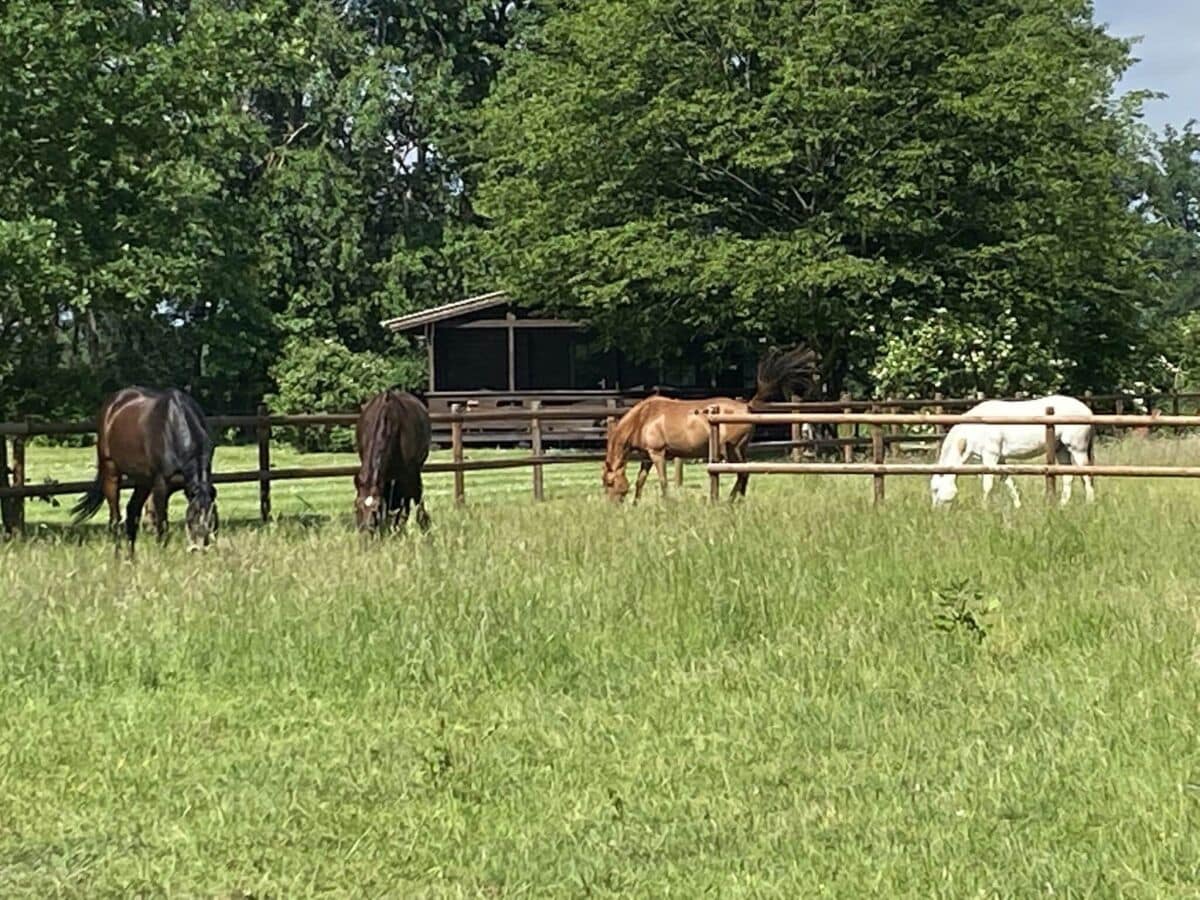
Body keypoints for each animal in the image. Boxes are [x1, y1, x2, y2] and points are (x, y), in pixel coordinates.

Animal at [73, 386, 218, 554]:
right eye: (192, 517)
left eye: (212, 519)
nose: (199, 548)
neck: (174, 425)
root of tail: (113, 403)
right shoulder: (161, 486)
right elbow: (162, 524)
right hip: (111, 472)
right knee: (115, 518)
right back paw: (118, 555)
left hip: (143, 481)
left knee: (131, 512)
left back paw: (131, 556)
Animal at [604, 343, 820, 501]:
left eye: (608, 483)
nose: (613, 506)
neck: (644, 418)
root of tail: (746, 406)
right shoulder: (647, 457)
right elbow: (640, 482)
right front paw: (636, 504)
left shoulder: (658, 454)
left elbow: (663, 481)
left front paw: (667, 503)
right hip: (740, 449)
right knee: (745, 474)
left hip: (732, 449)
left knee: (742, 474)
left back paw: (731, 501)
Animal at [926, 393, 1099, 508]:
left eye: (936, 489)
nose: (935, 511)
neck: (975, 427)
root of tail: (1088, 411)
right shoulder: (999, 459)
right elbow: (1008, 482)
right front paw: (1018, 505)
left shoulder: (990, 457)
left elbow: (987, 484)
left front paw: (984, 507)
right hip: (1061, 450)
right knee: (1068, 477)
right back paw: (1063, 505)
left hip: (1077, 449)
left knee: (1086, 476)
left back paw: (1090, 503)